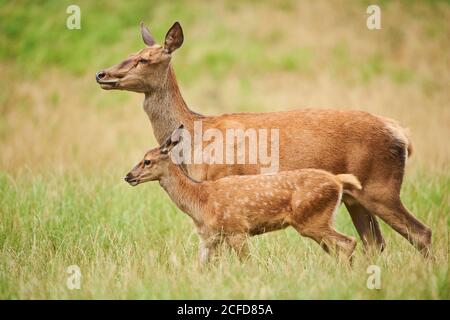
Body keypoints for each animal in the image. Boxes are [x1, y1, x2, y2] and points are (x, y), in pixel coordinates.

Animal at [96, 21, 430, 255]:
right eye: (129, 54)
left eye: (144, 59)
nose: (102, 74)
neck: (194, 135)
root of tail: (401, 133)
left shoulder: (221, 183)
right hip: (354, 196)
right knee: (375, 243)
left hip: (381, 186)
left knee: (420, 233)